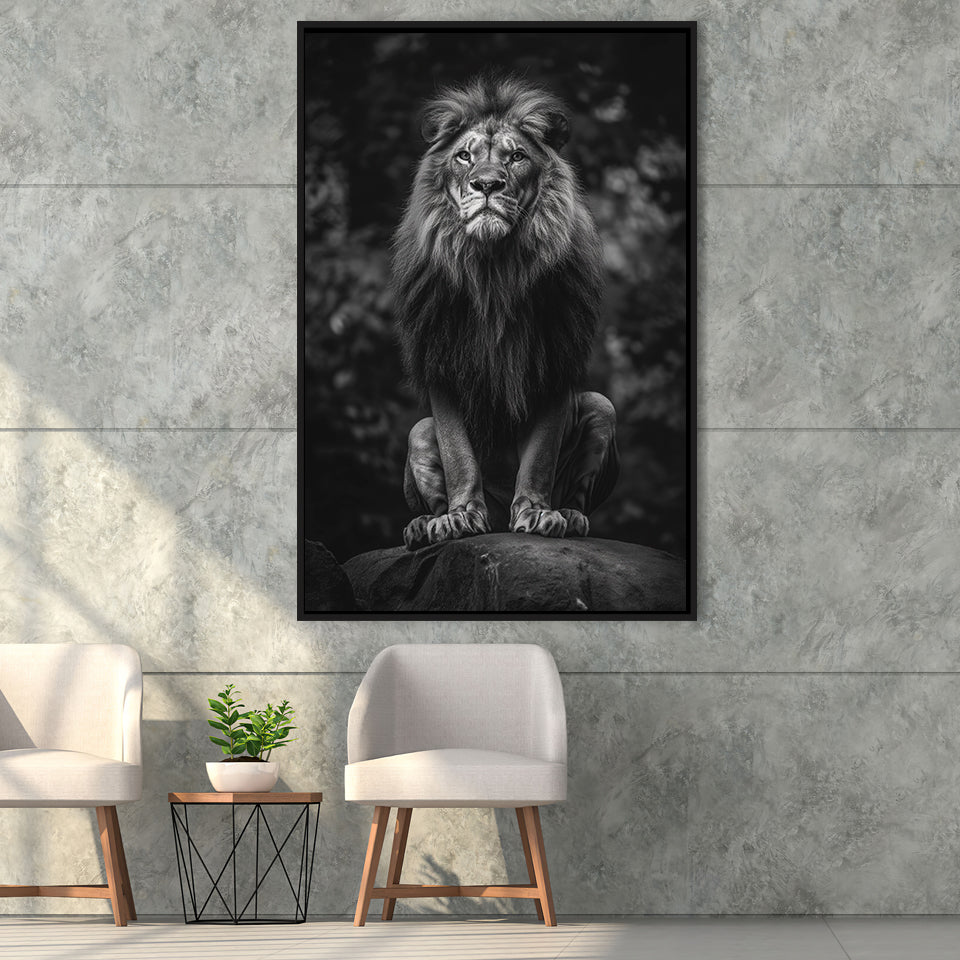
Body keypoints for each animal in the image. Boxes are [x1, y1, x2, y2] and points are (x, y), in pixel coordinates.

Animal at [392, 75, 619, 550]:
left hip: (601, 407)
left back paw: (570, 516)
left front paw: (536, 513)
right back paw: (424, 526)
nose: (487, 185)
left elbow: (540, 456)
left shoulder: (556, 362)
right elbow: (458, 455)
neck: (493, 268)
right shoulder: (441, 361)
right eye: (464, 156)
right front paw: (460, 517)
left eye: (516, 157)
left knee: (579, 493)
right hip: (418, 432)